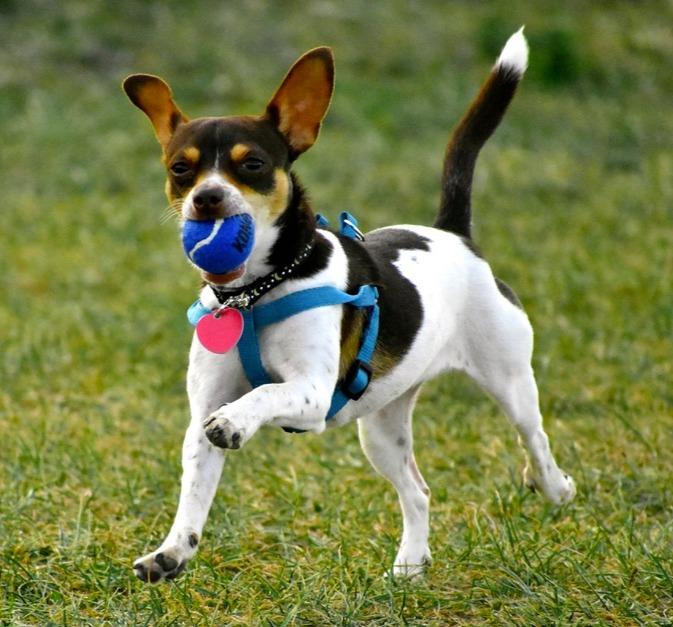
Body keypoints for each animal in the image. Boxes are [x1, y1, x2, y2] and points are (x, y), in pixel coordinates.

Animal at [124, 25, 572, 584]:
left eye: (253, 164)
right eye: (180, 169)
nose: (207, 198)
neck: (256, 292)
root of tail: (453, 235)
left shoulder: (312, 394)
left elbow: (263, 394)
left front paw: (237, 422)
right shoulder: (201, 416)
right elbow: (194, 496)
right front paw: (171, 552)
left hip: (510, 381)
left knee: (535, 439)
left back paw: (553, 485)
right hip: (380, 428)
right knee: (418, 492)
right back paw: (410, 565)